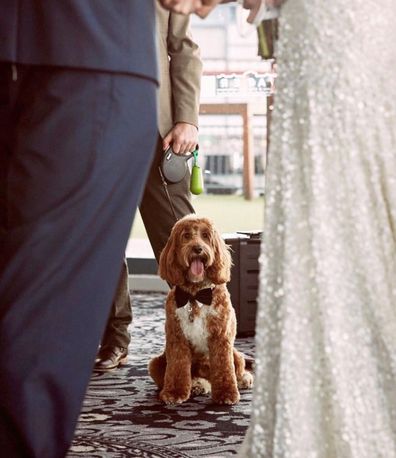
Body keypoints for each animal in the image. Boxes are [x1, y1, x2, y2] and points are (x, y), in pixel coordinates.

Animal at [147, 215, 252, 404]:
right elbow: (177, 367)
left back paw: (243, 379)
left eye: (205, 236)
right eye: (186, 235)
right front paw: (174, 393)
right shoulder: (177, 338)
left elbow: (224, 369)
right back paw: (197, 385)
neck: (196, 294)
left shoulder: (221, 338)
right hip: (155, 364)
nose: (197, 249)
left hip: (237, 355)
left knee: (237, 369)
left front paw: (226, 394)